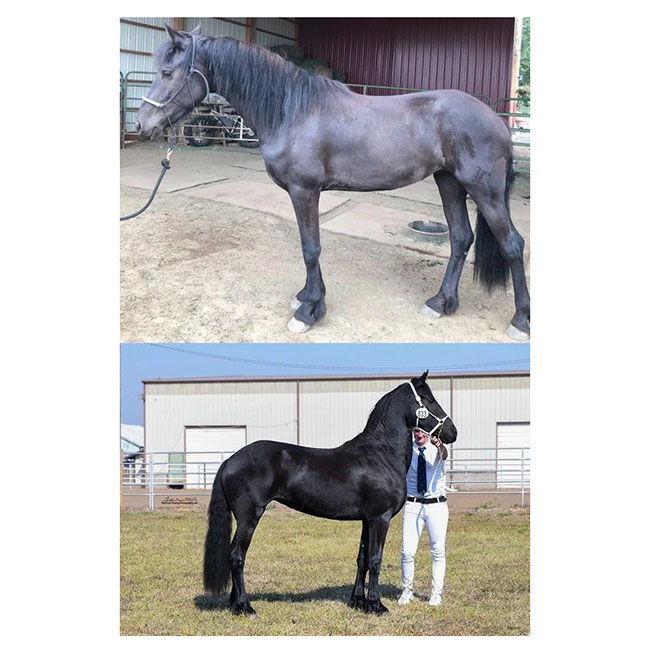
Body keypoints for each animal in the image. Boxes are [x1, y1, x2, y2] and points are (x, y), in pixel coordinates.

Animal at [135, 25, 530, 341]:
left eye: (168, 71)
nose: (142, 124)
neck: (293, 111)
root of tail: (495, 119)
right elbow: (308, 247)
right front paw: (308, 297)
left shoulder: (304, 191)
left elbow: (311, 248)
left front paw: (308, 311)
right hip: (449, 182)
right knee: (461, 239)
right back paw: (441, 302)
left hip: (485, 190)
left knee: (512, 244)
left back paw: (520, 320)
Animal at [201, 371, 457, 616]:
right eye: (429, 399)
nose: (452, 432)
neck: (381, 454)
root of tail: (229, 461)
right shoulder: (380, 518)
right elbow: (375, 560)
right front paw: (376, 606)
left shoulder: (367, 520)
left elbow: (362, 559)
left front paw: (358, 602)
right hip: (249, 517)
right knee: (237, 556)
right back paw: (246, 606)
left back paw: (235, 605)